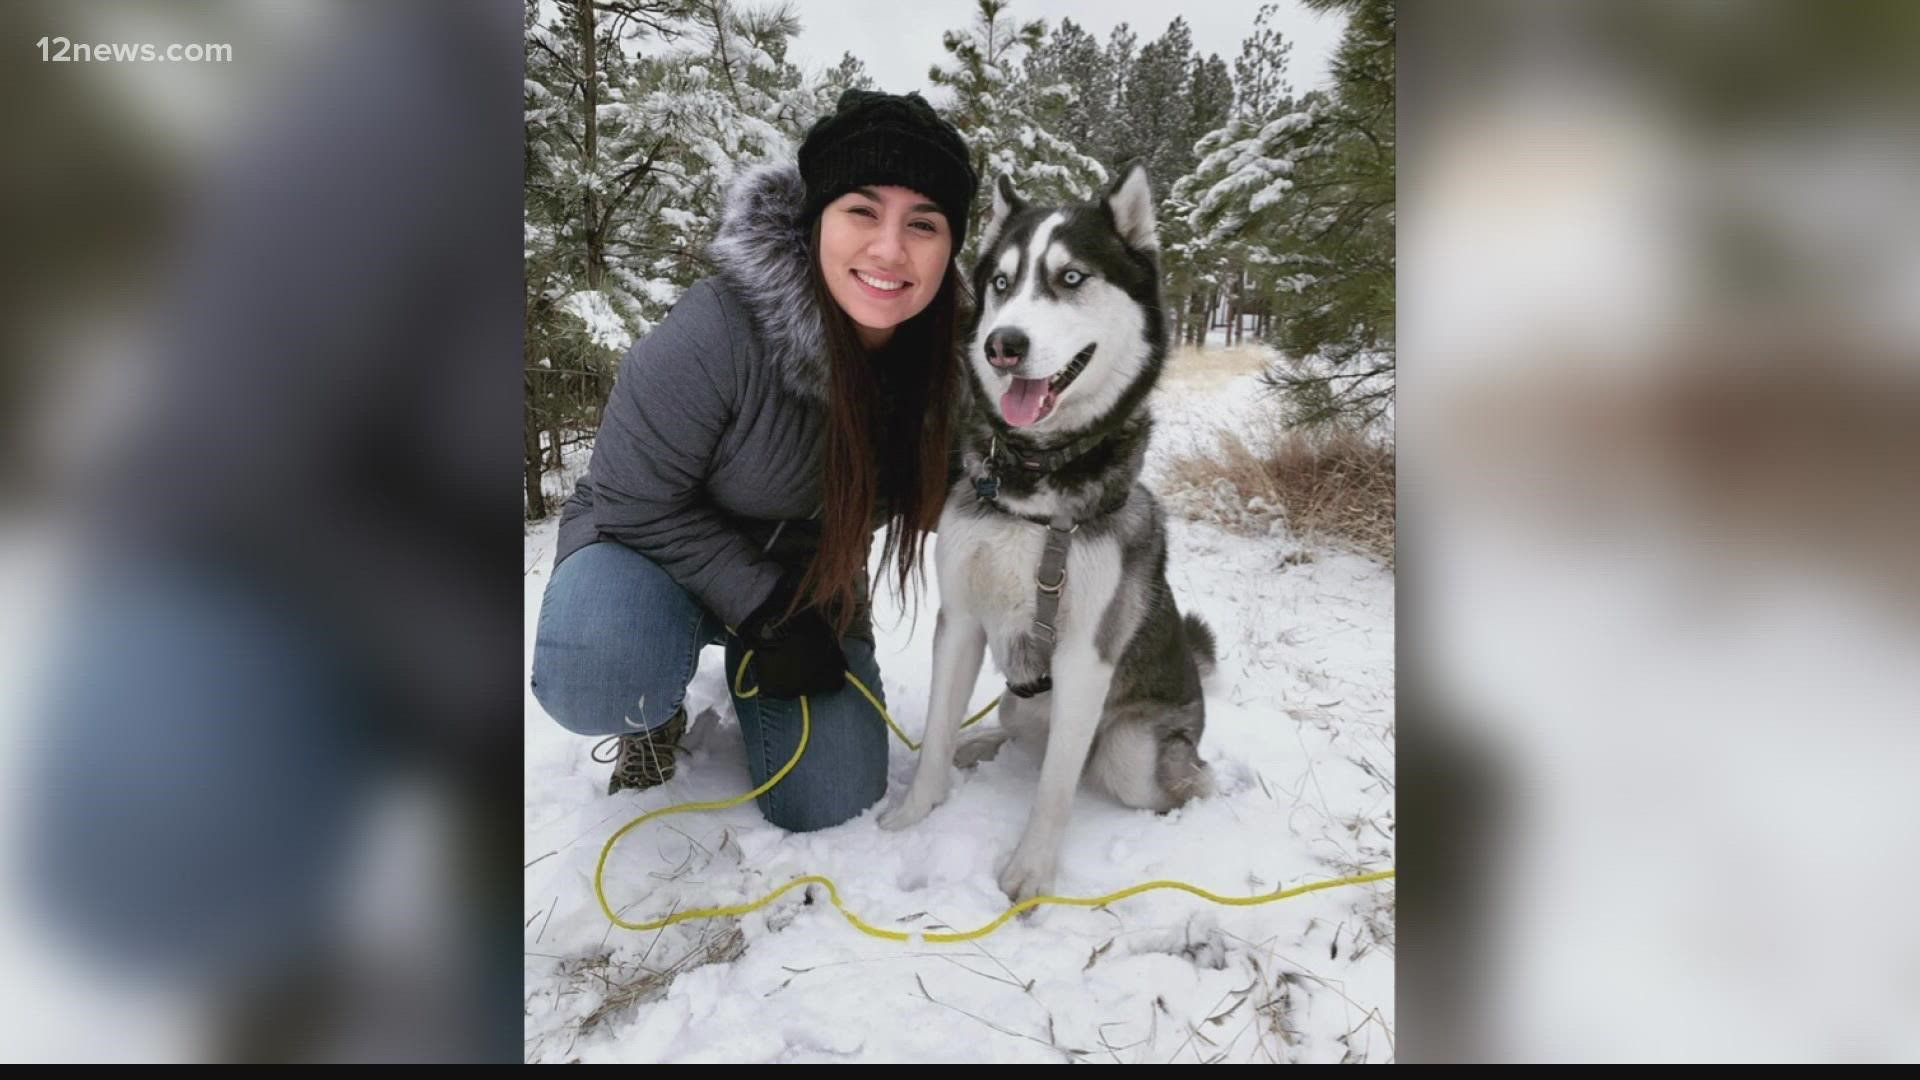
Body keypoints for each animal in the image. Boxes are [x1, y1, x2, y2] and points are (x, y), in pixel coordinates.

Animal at [879, 161, 1213, 899]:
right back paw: (979, 746)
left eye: (1071, 278)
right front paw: (915, 810)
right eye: (1001, 284)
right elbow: (937, 732)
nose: (1003, 344)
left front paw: (1029, 872)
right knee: (1017, 731)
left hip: (1132, 750)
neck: (1033, 481)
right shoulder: (961, 621)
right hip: (1019, 703)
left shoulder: (1086, 656)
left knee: (1164, 774)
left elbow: (1056, 787)